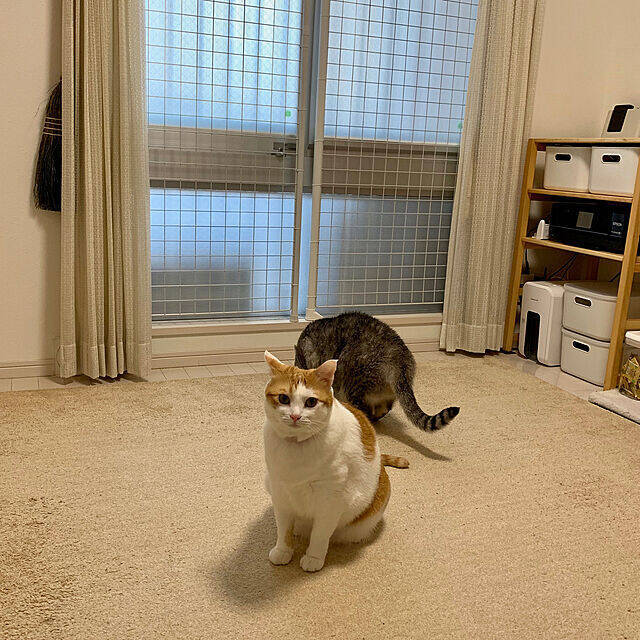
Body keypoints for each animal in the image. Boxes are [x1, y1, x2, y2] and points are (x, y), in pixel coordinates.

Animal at [263, 350, 409, 572]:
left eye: (311, 402)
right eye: (283, 398)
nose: (295, 416)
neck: (296, 450)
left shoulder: (330, 501)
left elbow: (320, 535)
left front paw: (313, 558)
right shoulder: (280, 494)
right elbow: (283, 530)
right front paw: (283, 551)